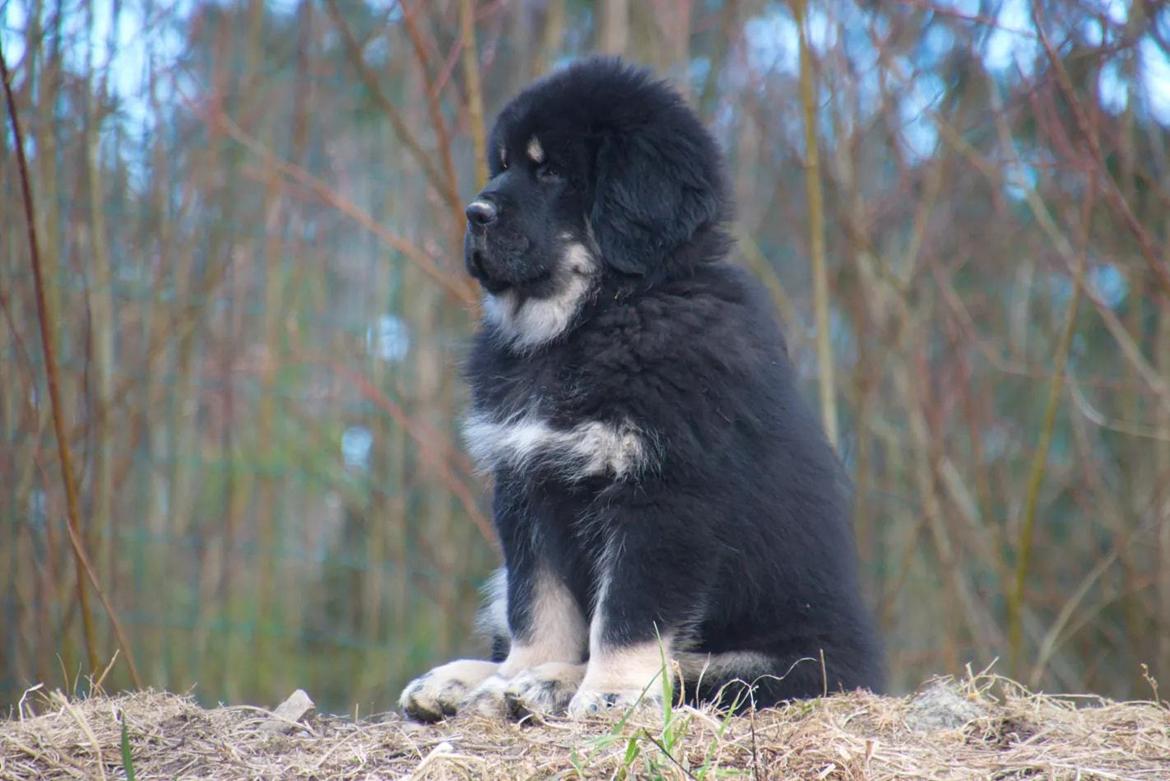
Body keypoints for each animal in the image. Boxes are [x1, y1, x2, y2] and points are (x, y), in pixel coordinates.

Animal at [397, 57, 879, 724]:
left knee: (699, 670)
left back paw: (557, 684)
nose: (474, 214)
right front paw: (506, 681)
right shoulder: (528, 483)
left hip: (802, 663)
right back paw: (475, 680)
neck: (592, 319)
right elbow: (536, 605)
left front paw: (610, 695)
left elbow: (627, 615)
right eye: (503, 165)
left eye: (550, 171)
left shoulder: (663, 494)